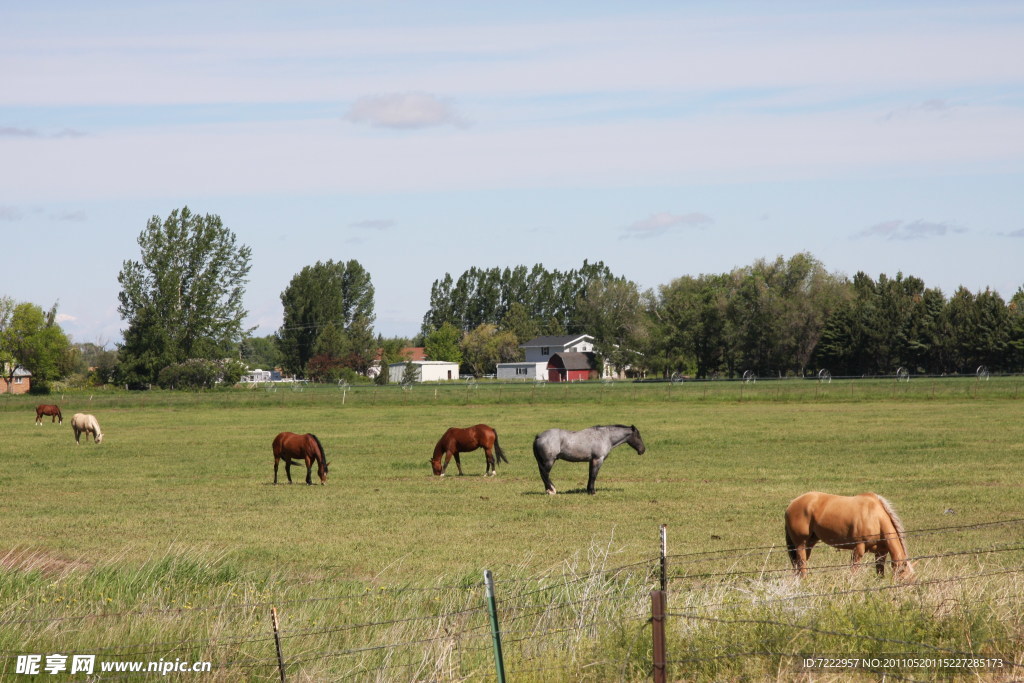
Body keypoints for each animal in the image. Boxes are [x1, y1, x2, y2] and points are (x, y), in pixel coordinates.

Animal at [778, 493, 917, 581]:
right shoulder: (858, 549)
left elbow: (879, 572)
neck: (876, 518)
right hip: (800, 543)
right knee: (802, 564)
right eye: (904, 577)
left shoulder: (881, 552)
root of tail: (792, 503)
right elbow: (854, 570)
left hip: (809, 543)